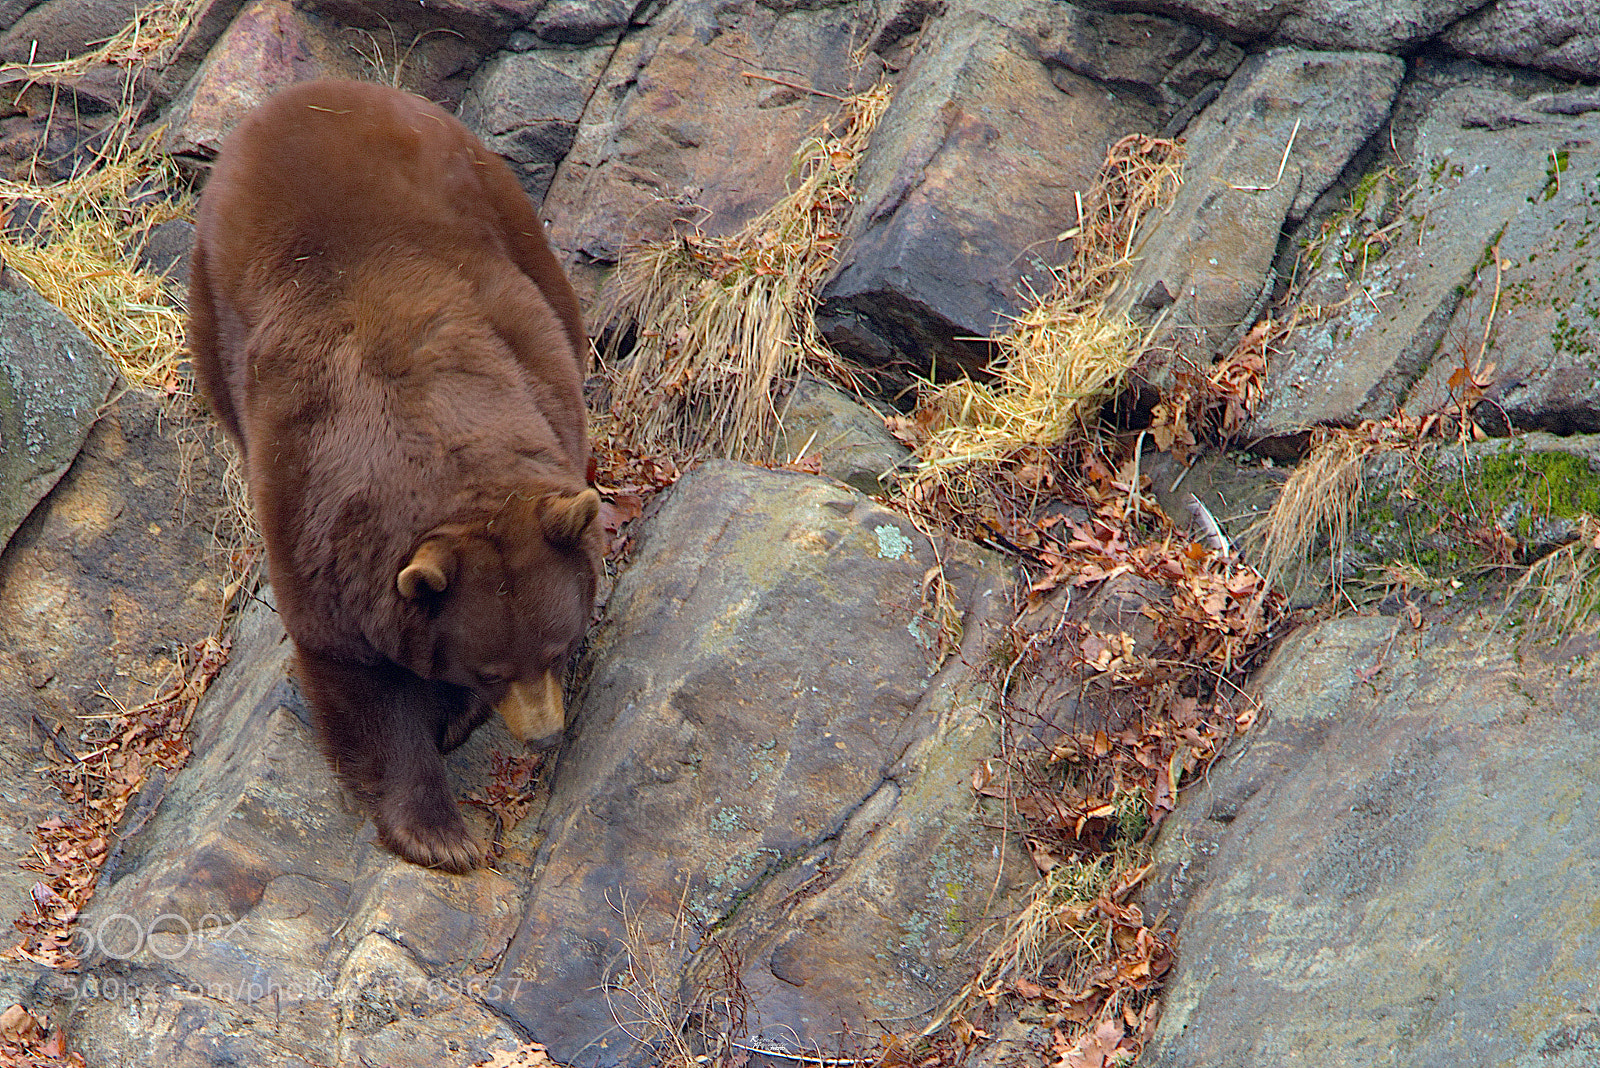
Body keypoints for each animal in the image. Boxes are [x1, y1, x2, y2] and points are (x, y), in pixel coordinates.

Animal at [188, 79, 602, 872]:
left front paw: (452, 721)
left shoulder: (537, 374)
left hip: (496, 197)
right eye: (493, 667)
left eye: (556, 647)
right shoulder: (317, 519)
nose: (544, 734)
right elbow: (357, 675)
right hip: (214, 297)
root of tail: (303, 93)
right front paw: (439, 832)